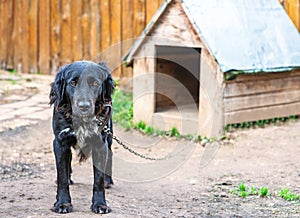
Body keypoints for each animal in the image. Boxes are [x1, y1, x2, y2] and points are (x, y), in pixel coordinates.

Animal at [49, 60, 115, 214]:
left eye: (95, 83)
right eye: (73, 83)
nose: (84, 106)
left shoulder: (100, 144)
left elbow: (98, 179)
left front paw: (100, 204)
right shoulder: (60, 142)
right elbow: (62, 175)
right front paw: (63, 203)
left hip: (109, 137)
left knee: (111, 155)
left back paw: (108, 181)